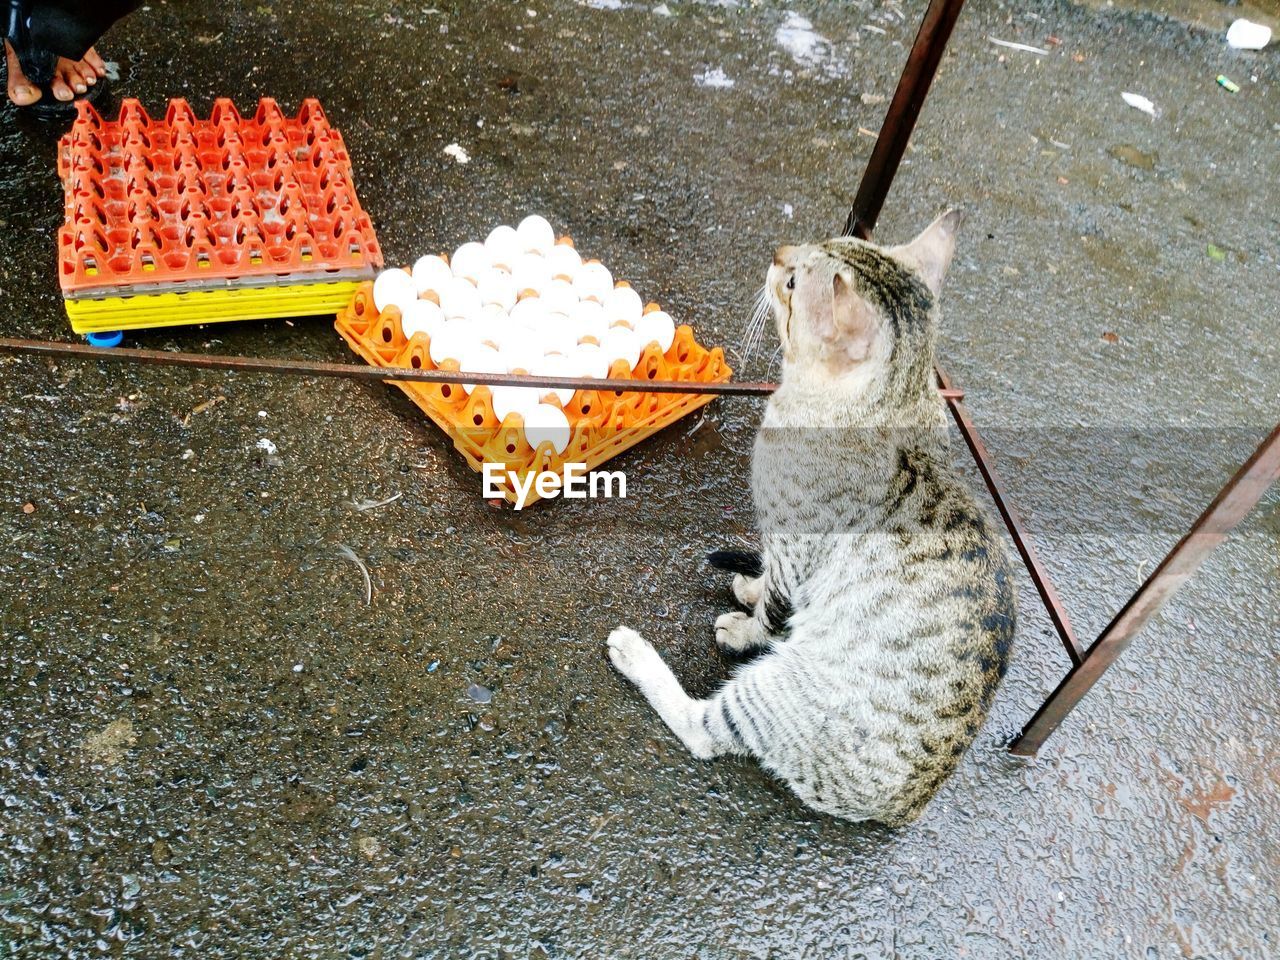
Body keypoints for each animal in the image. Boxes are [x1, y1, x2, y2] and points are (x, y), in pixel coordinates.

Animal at [604, 209, 1013, 829]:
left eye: (795, 284)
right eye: (824, 241)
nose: (778, 253)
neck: (899, 401)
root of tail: (907, 806)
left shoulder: (797, 550)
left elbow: (773, 607)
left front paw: (747, 621)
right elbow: (768, 583)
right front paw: (749, 588)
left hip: (777, 689)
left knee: (703, 733)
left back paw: (636, 655)